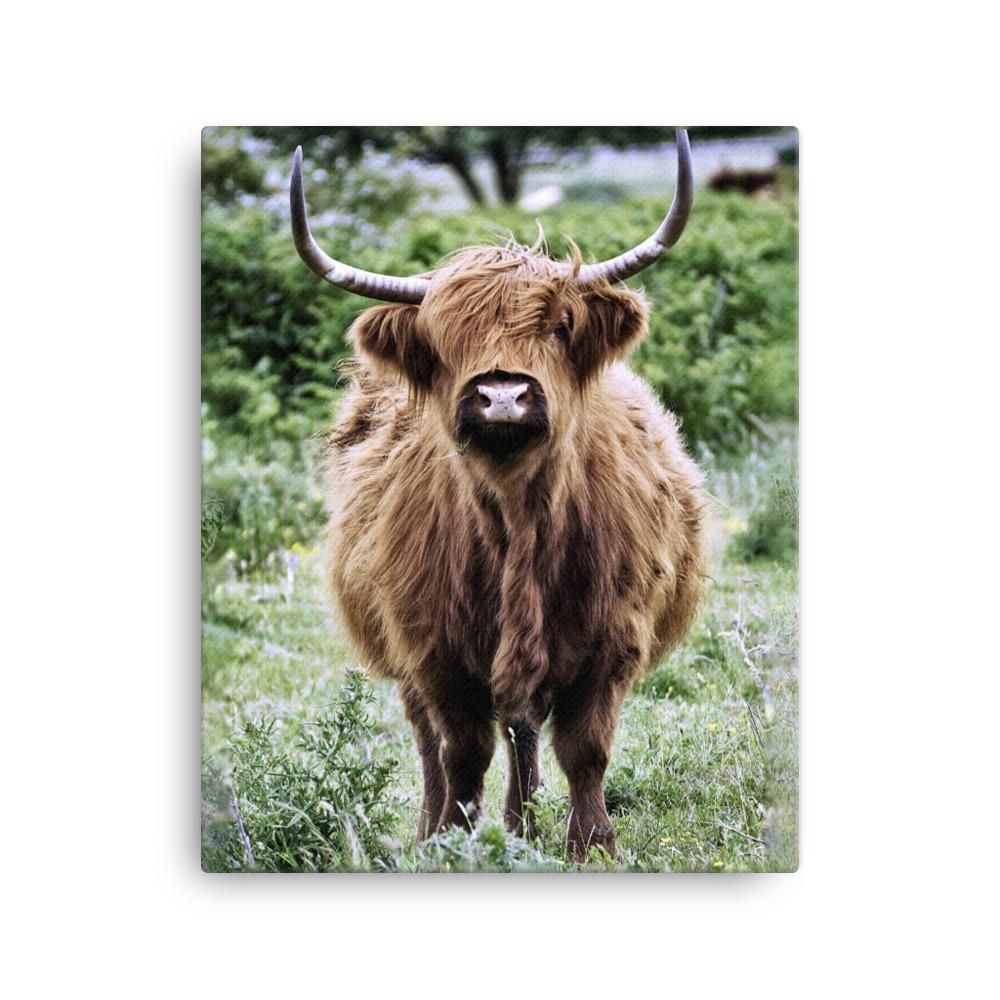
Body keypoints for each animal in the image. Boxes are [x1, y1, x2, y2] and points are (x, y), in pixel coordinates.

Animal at [290, 130, 706, 860]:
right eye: (443, 338)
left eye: (561, 326)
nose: (503, 395)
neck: (519, 522)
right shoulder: (434, 650)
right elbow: (461, 751)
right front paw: (454, 840)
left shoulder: (613, 641)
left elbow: (584, 749)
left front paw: (589, 845)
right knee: (437, 741)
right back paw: (447, 828)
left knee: (523, 727)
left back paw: (523, 823)